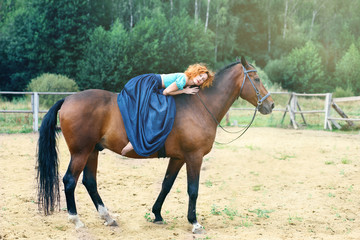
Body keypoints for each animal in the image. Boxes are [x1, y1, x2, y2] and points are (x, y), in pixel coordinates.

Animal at [36, 55, 274, 232]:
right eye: (257, 79)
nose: (270, 104)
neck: (199, 107)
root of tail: (67, 99)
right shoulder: (194, 157)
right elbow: (193, 189)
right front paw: (194, 222)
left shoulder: (178, 158)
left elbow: (166, 185)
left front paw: (157, 214)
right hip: (81, 152)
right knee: (69, 181)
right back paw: (77, 221)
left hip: (92, 152)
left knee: (90, 182)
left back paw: (108, 217)